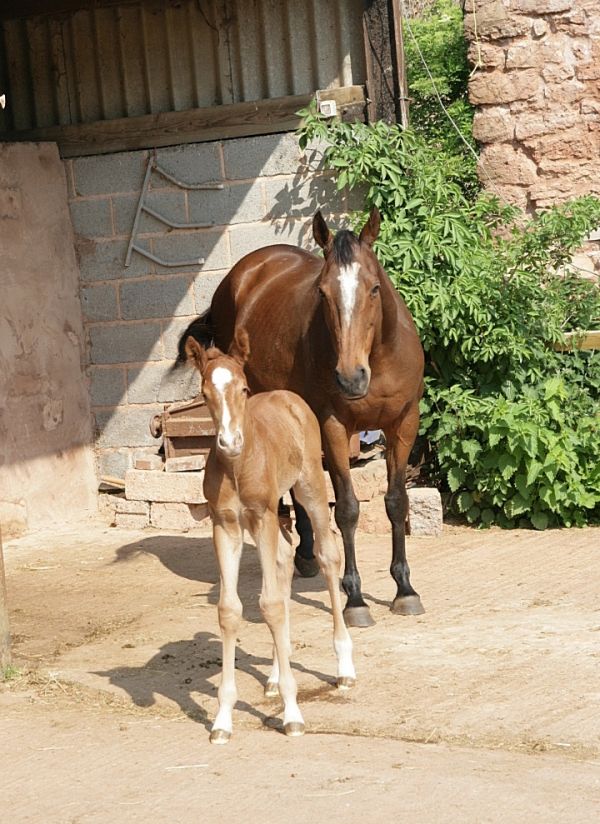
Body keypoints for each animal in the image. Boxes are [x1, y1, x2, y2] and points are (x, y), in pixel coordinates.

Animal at [178, 206, 425, 628]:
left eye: (374, 288)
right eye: (322, 293)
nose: (351, 377)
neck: (378, 360)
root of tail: (247, 269)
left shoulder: (404, 424)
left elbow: (396, 502)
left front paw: (405, 589)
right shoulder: (335, 428)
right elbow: (347, 509)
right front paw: (354, 598)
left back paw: (308, 557)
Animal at [185, 329, 355, 743]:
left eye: (244, 389)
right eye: (204, 393)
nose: (229, 442)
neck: (237, 467)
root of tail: (289, 397)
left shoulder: (261, 517)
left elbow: (272, 604)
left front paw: (293, 715)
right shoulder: (225, 525)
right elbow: (231, 609)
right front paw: (222, 720)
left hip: (309, 487)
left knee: (327, 555)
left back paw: (344, 667)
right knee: (286, 557)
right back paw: (277, 676)